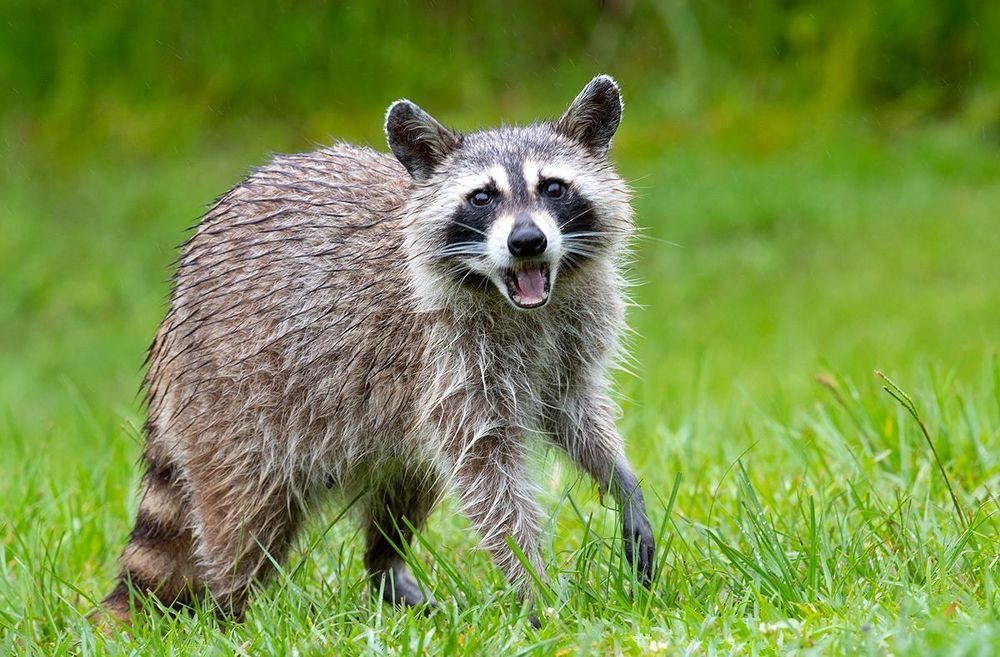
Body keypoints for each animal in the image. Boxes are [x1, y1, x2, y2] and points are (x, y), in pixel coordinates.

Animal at [100, 75, 654, 627]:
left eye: (554, 188)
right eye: (481, 197)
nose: (527, 241)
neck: (518, 300)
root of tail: (171, 327)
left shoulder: (570, 336)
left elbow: (573, 410)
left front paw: (620, 479)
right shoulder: (446, 355)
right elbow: (487, 477)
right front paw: (533, 586)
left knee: (408, 483)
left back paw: (385, 565)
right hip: (231, 404)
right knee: (242, 515)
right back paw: (229, 609)